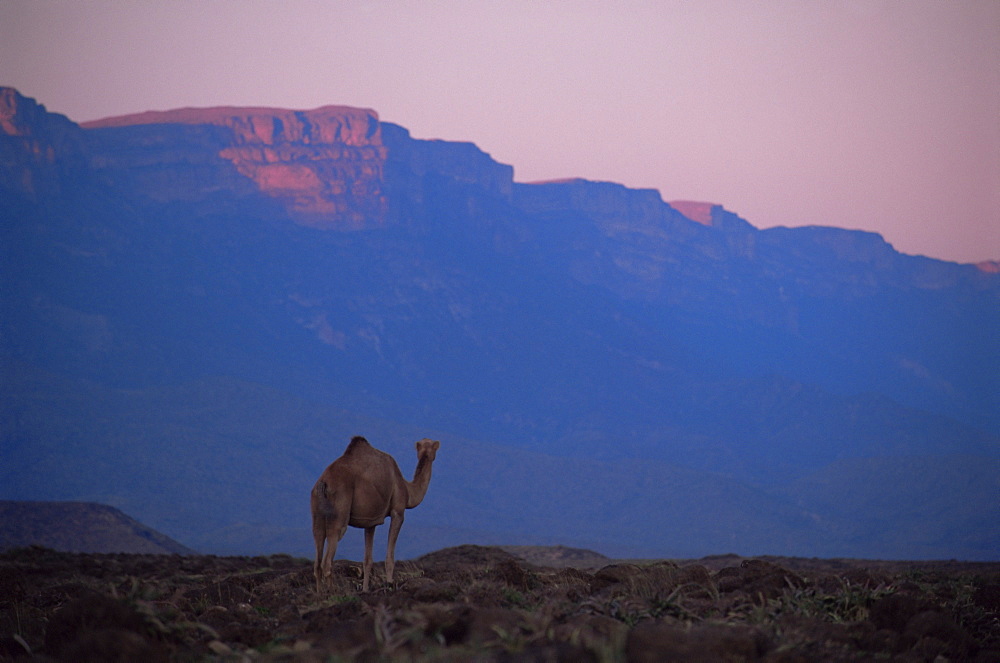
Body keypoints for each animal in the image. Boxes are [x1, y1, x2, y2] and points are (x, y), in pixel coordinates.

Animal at [310, 434, 440, 592]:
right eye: (434, 446)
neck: (408, 490)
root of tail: (324, 482)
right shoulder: (398, 511)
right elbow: (389, 556)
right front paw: (389, 584)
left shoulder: (370, 521)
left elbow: (367, 560)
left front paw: (365, 590)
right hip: (339, 513)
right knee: (328, 560)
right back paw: (333, 592)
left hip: (316, 513)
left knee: (317, 556)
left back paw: (320, 593)